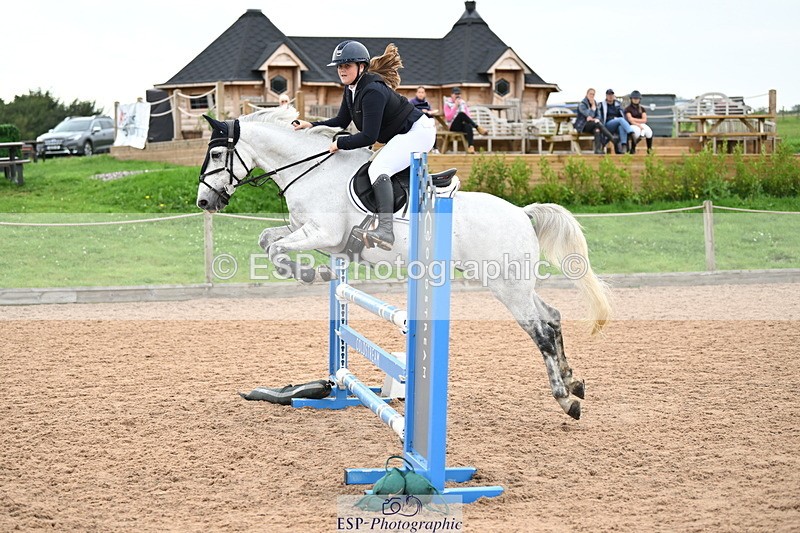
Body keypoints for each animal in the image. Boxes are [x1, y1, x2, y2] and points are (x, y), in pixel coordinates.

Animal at [195, 107, 611, 420]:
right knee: (552, 316)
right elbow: (267, 239)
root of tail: (523, 213)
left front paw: (312, 272)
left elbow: (275, 248)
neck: (312, 172)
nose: (204, 202)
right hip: (516, 284)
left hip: (506, 287)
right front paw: (321, 271)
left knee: (540, 332)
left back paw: (565, 398)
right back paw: (574, 381)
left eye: (216, 155)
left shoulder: (322, 233)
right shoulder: (307, 230)